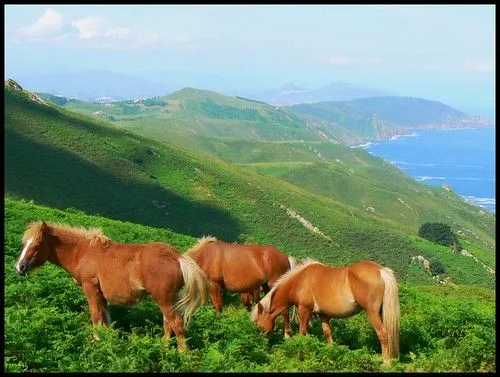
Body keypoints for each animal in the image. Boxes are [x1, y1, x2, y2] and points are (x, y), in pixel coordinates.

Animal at [14, 220, 208, 350]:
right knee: (168, 323)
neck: (83, 252)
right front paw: (108, 342)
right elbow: (106, 318)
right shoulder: (102, 295)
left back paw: (182, 354)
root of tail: (177, 257)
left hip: (163, 299)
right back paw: (164, 349)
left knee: (176, 322)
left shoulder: (90, 289)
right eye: (24, 243)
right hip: (168, 300)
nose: (19, 267)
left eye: (36, 244)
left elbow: (95, 316)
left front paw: (95, 342)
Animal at [252, 258, 400, 364]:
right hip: (380, 312)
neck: (300, 281)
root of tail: (381, 270)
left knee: (383, 335)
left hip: (372, 312)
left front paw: (300, 355)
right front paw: (331, 354)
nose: (263, 346)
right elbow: (327, 333)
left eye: (258, 326)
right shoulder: (323, 314)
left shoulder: (304, 309)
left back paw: (386, 363)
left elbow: (302, 333)